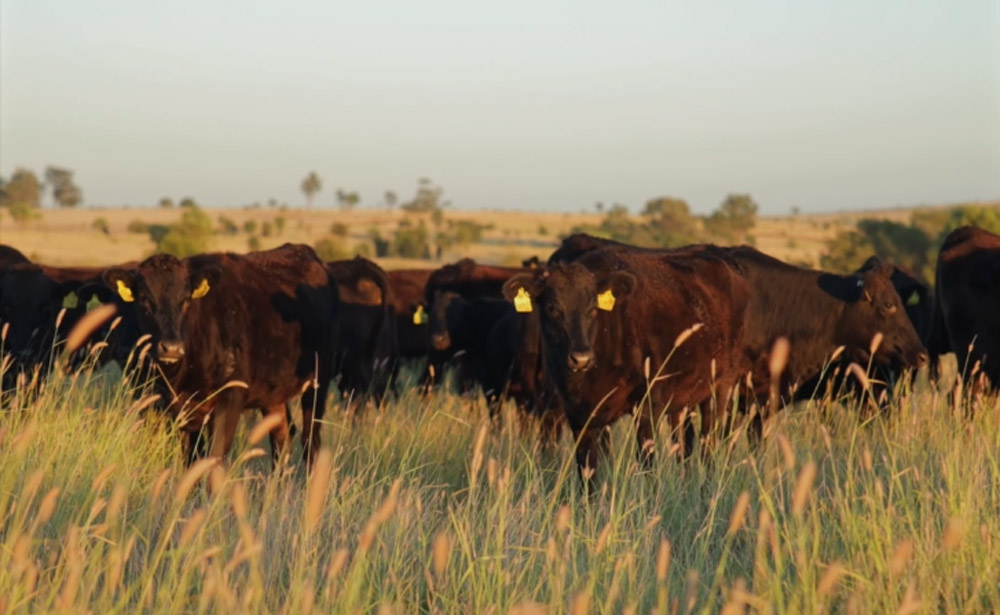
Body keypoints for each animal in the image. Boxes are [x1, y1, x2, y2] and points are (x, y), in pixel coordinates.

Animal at [101, 244, 338, 466]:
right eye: (143, 298)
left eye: (186, 299)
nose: (171, 347)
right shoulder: (159, 405)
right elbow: (191, 462)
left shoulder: (229, 399)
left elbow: (214, 460)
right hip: (273, 394)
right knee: (282, 437)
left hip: (318, 382)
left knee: (310, 442)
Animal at [503, 247, 751, 488]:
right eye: (552, 308)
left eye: (593, 309)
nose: (581, 358)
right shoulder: (579, 418)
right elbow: (587, 474)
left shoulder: (647, 409)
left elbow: (648, 469)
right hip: (683, 402)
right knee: (684, 444)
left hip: (720, 390)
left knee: (709, 445)